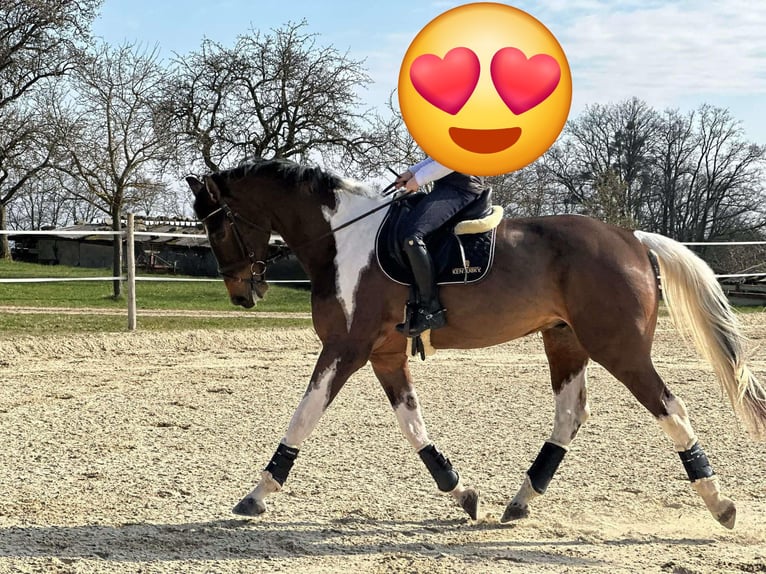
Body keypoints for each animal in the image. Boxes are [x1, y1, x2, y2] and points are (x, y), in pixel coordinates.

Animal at [185, 157, 766, 529]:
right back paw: (521, 501)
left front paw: (257, 494)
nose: (242, 294)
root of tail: (632, 238)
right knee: (570, 416)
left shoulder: (345, 349)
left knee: (672, 408)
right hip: (565, 342)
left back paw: (720, 504)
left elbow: (303, 416)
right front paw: (461, 492)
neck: (341, 238)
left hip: (618, 348)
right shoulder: (384, 353)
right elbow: (413, 426)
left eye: (216, 228)